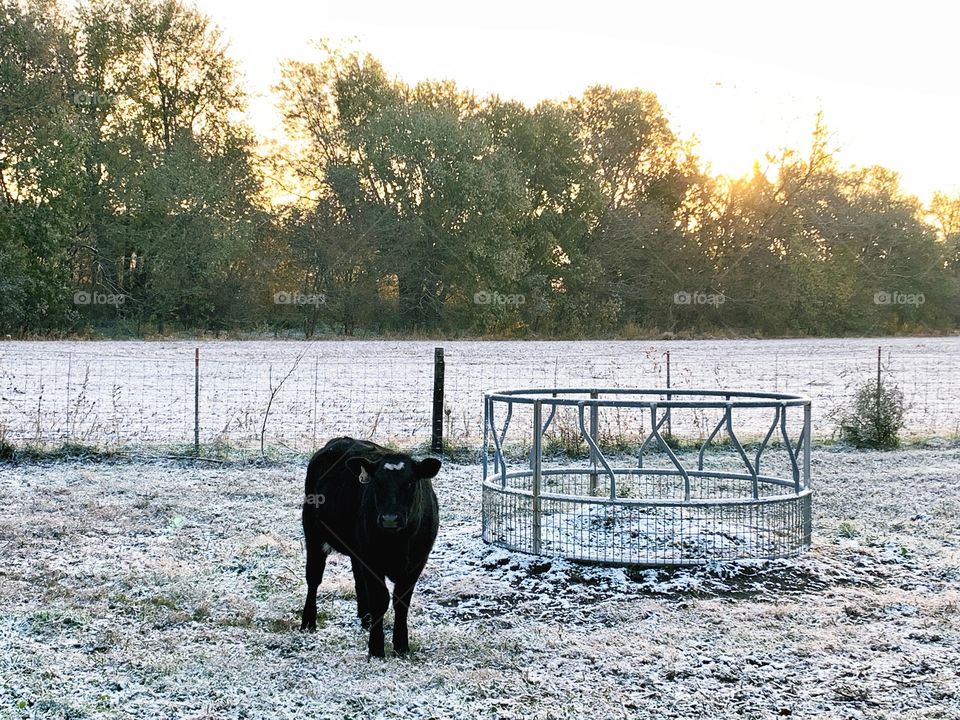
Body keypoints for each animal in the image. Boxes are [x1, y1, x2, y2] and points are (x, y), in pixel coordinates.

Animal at [300, 434, 442, 660]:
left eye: (410, 483)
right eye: (377, 482)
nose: (390, 518)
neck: (397, 543)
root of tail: (338, 441)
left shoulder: (417, 561)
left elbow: (401, 602)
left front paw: (401, 645)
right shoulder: (371, 560)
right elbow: (380, 599)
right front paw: (376, 648)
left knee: (358, 578)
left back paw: (365, 619)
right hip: (313, 534)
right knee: (314, 578)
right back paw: (308, 621)